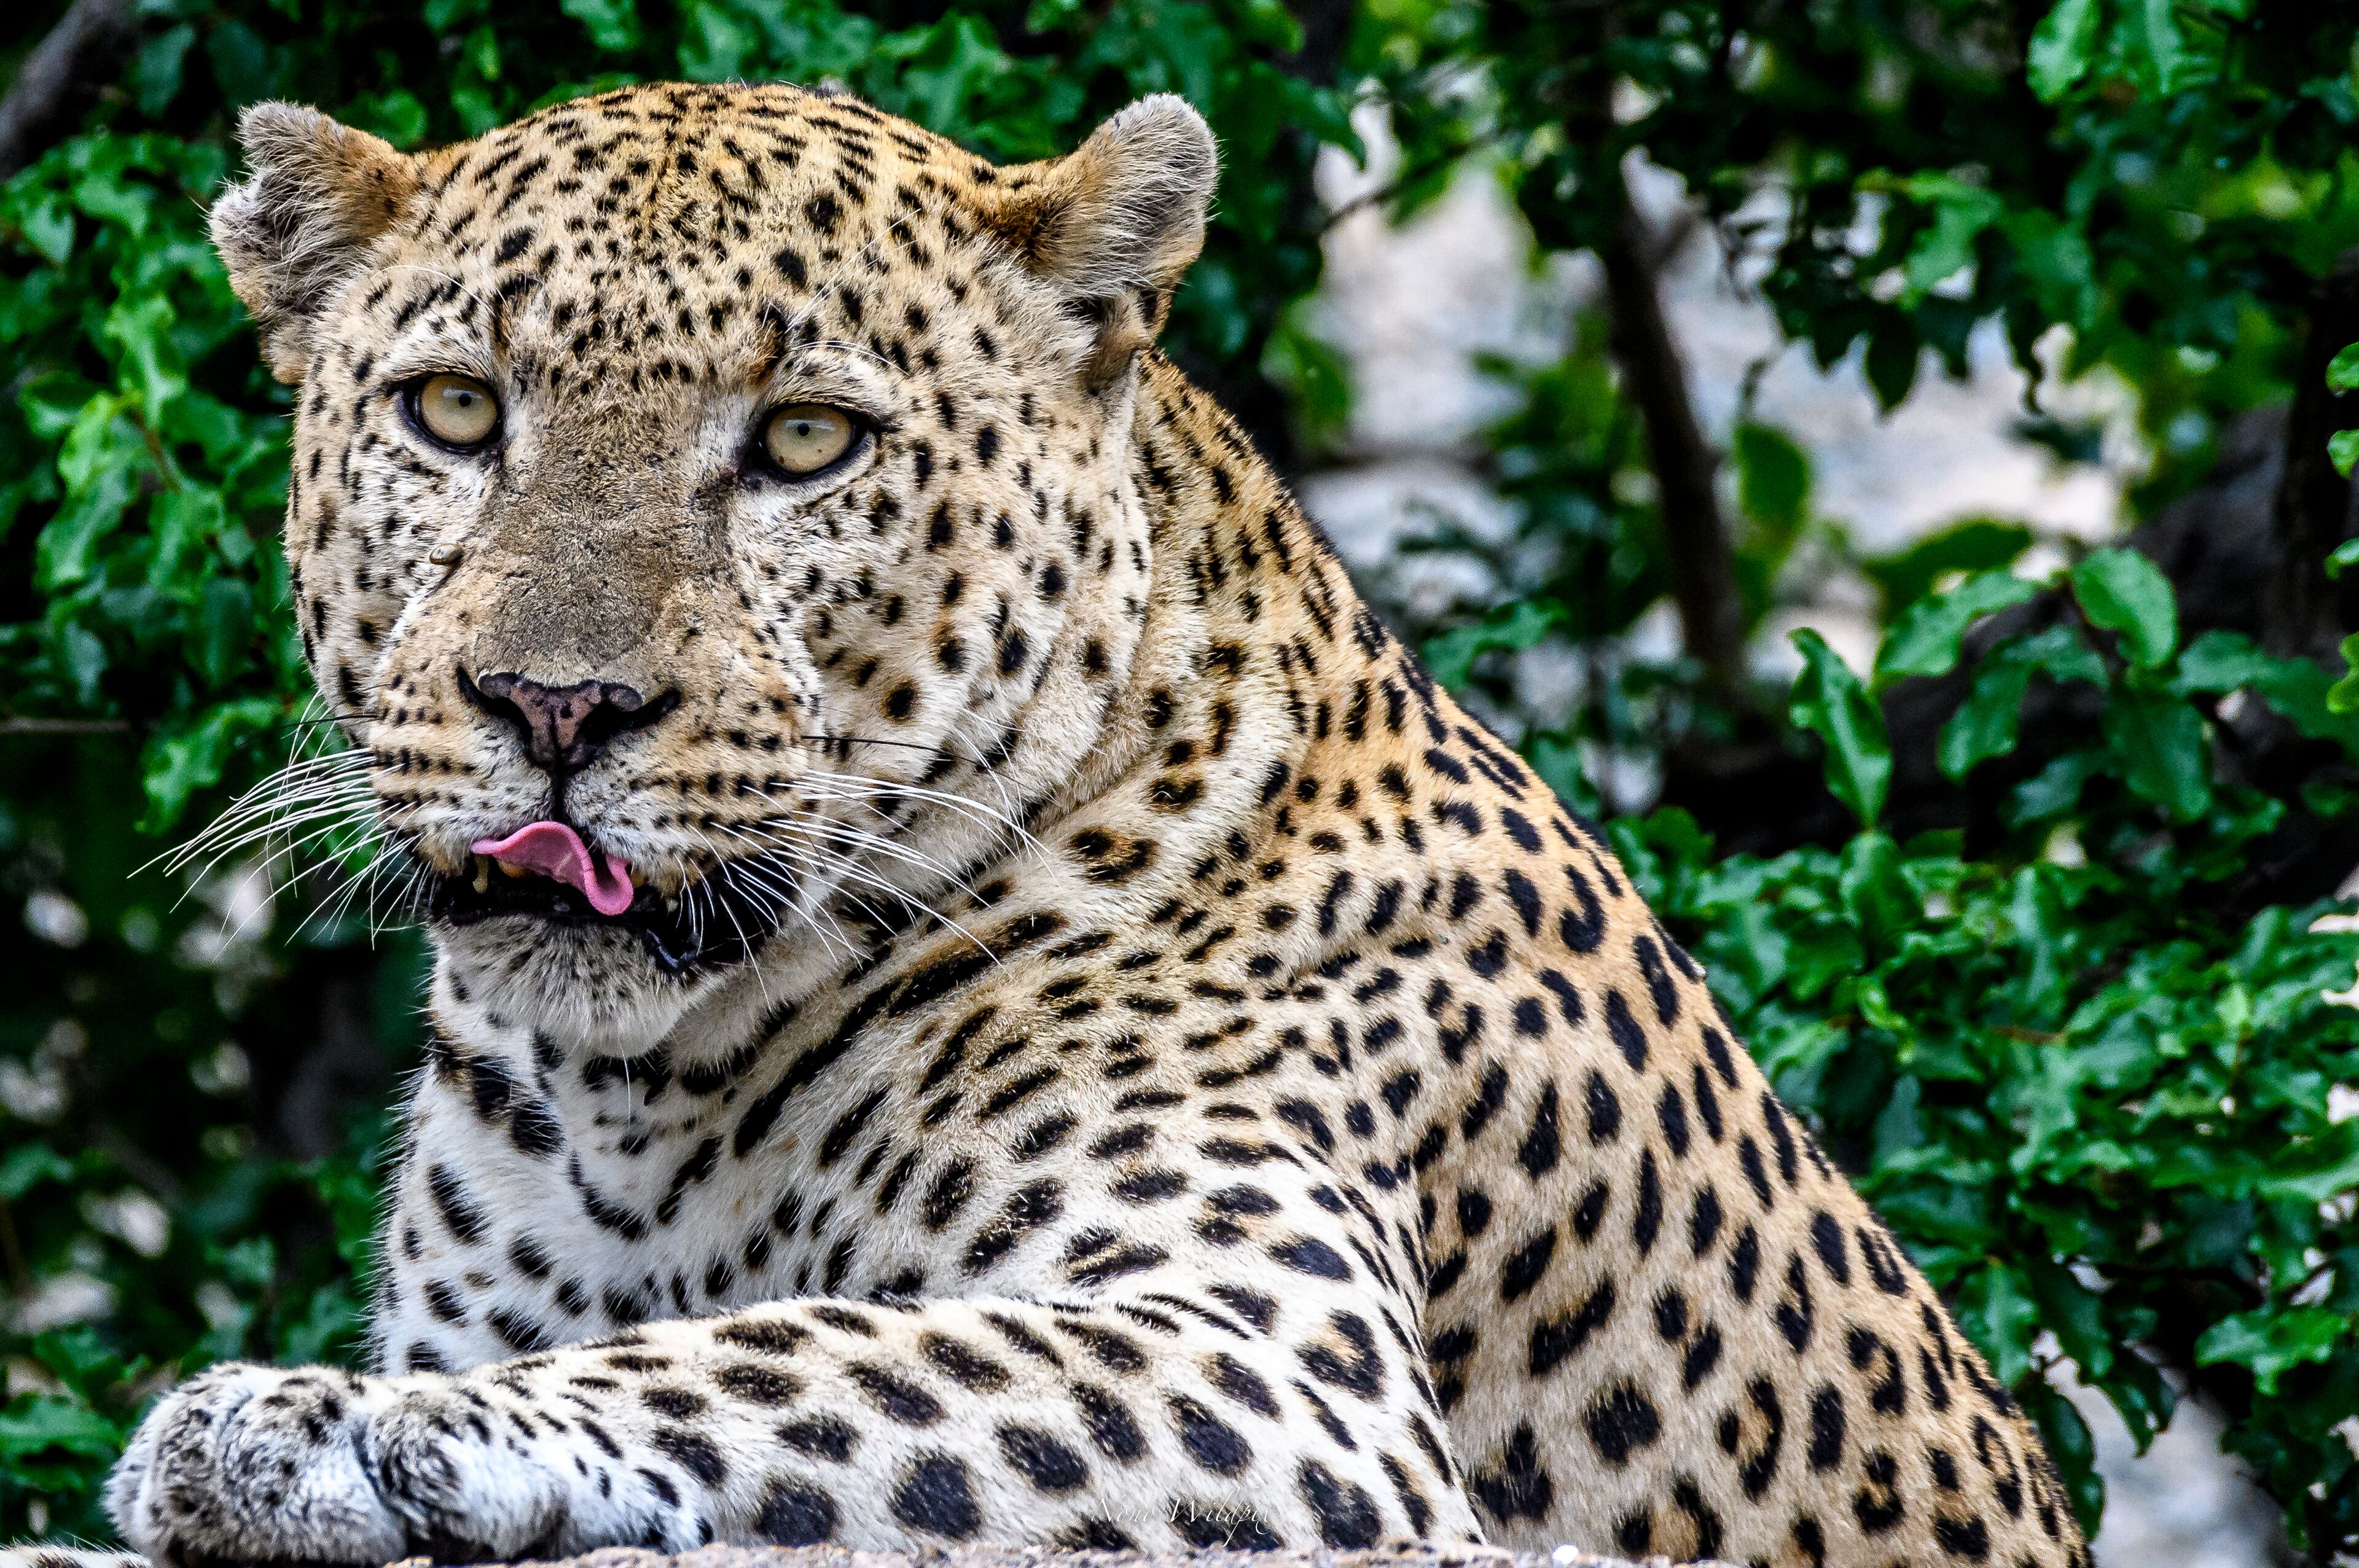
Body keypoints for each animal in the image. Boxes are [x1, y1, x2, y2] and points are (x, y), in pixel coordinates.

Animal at [60, 80, 2089, 1568]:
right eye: (455, 409)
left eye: (805, 443)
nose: (555, 709)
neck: (642, 1092)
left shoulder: (1284, 1375)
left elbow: (808, 1353)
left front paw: (317, 1425)